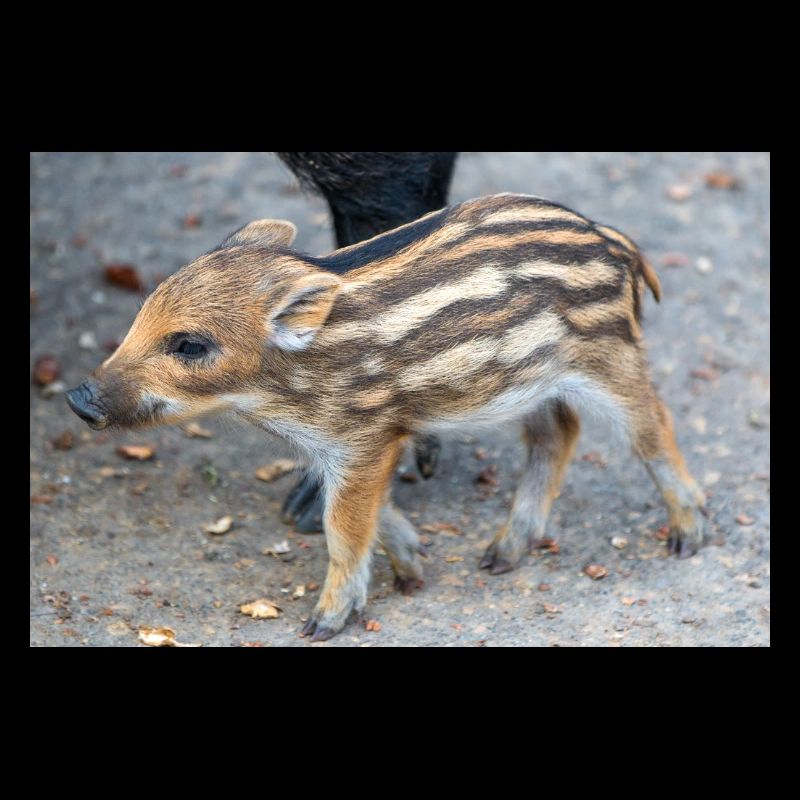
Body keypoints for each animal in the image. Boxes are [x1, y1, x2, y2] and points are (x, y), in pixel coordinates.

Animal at [66, 193, 706, 641]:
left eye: (190, 346)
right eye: (143, 313)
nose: (78, 399)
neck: (277, 391)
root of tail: (613, 239)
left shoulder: (366, 437)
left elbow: (342, 524)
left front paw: (323, 623)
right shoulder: (341, 446)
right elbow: (361, 510)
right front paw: (414, 568)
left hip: (609, 356)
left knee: (652, 427)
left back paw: (688, 535)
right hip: (529, 384)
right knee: (559, 434)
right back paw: (501, 555)